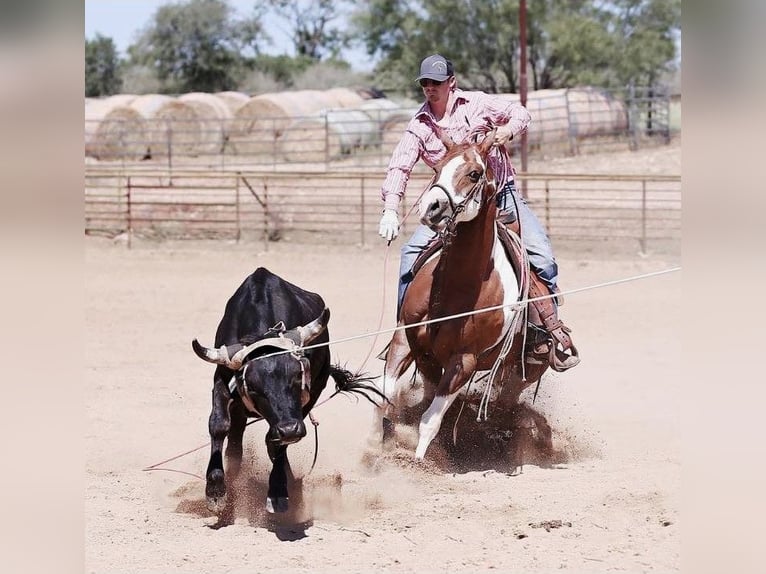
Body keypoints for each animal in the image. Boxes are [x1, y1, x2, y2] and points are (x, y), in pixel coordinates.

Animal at [376, 130, 552, 464]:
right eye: (436, 168)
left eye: (474, 173)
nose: (431, 208)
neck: (457, 287)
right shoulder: (405, 339)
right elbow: (386, 396)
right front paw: (377, 446)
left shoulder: (464, 361)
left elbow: (430, 420)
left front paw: (418, 464)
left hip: (525, 371)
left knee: (507, 405)